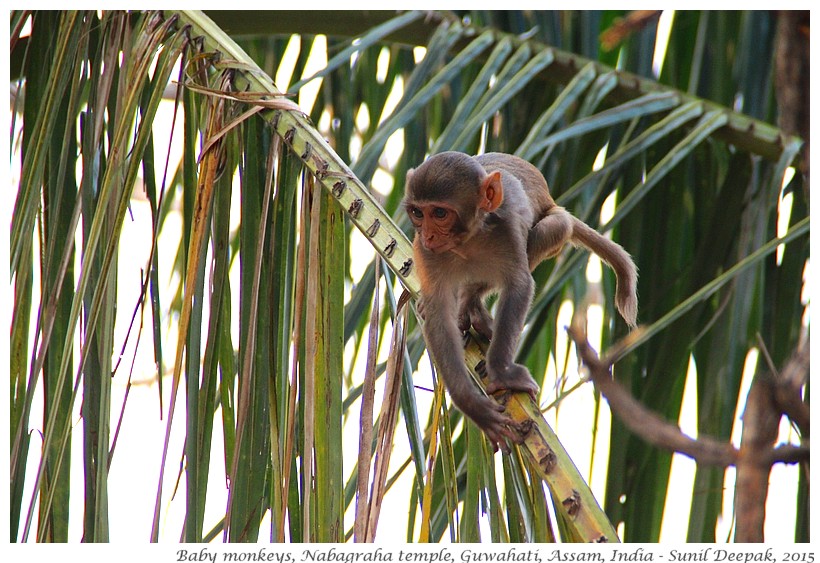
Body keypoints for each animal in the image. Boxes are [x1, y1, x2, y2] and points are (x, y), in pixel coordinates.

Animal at [404, 152, 640, 452]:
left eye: (440, 213)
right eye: (417, 213)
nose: (428, 235)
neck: (467, 241)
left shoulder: (505, 229)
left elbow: (519, 285)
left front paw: (502, 373)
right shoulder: (427, 254)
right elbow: (439, 315)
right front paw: (472, 405)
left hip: (551, 225)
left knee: (554, 227)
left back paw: (472, 302)